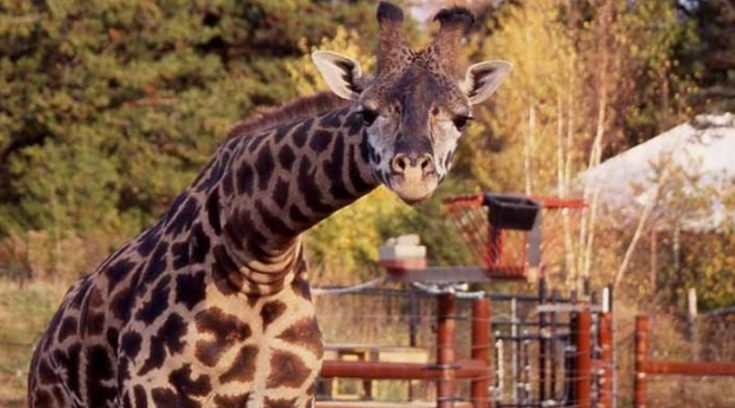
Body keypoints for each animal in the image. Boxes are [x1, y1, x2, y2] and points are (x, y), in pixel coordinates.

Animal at [28, 1, 512, 406]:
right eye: (367, 111)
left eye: (462, 118)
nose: (413, 172)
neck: (259, 250)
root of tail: (44, 343)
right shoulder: (153, 393)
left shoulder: (290, 395)